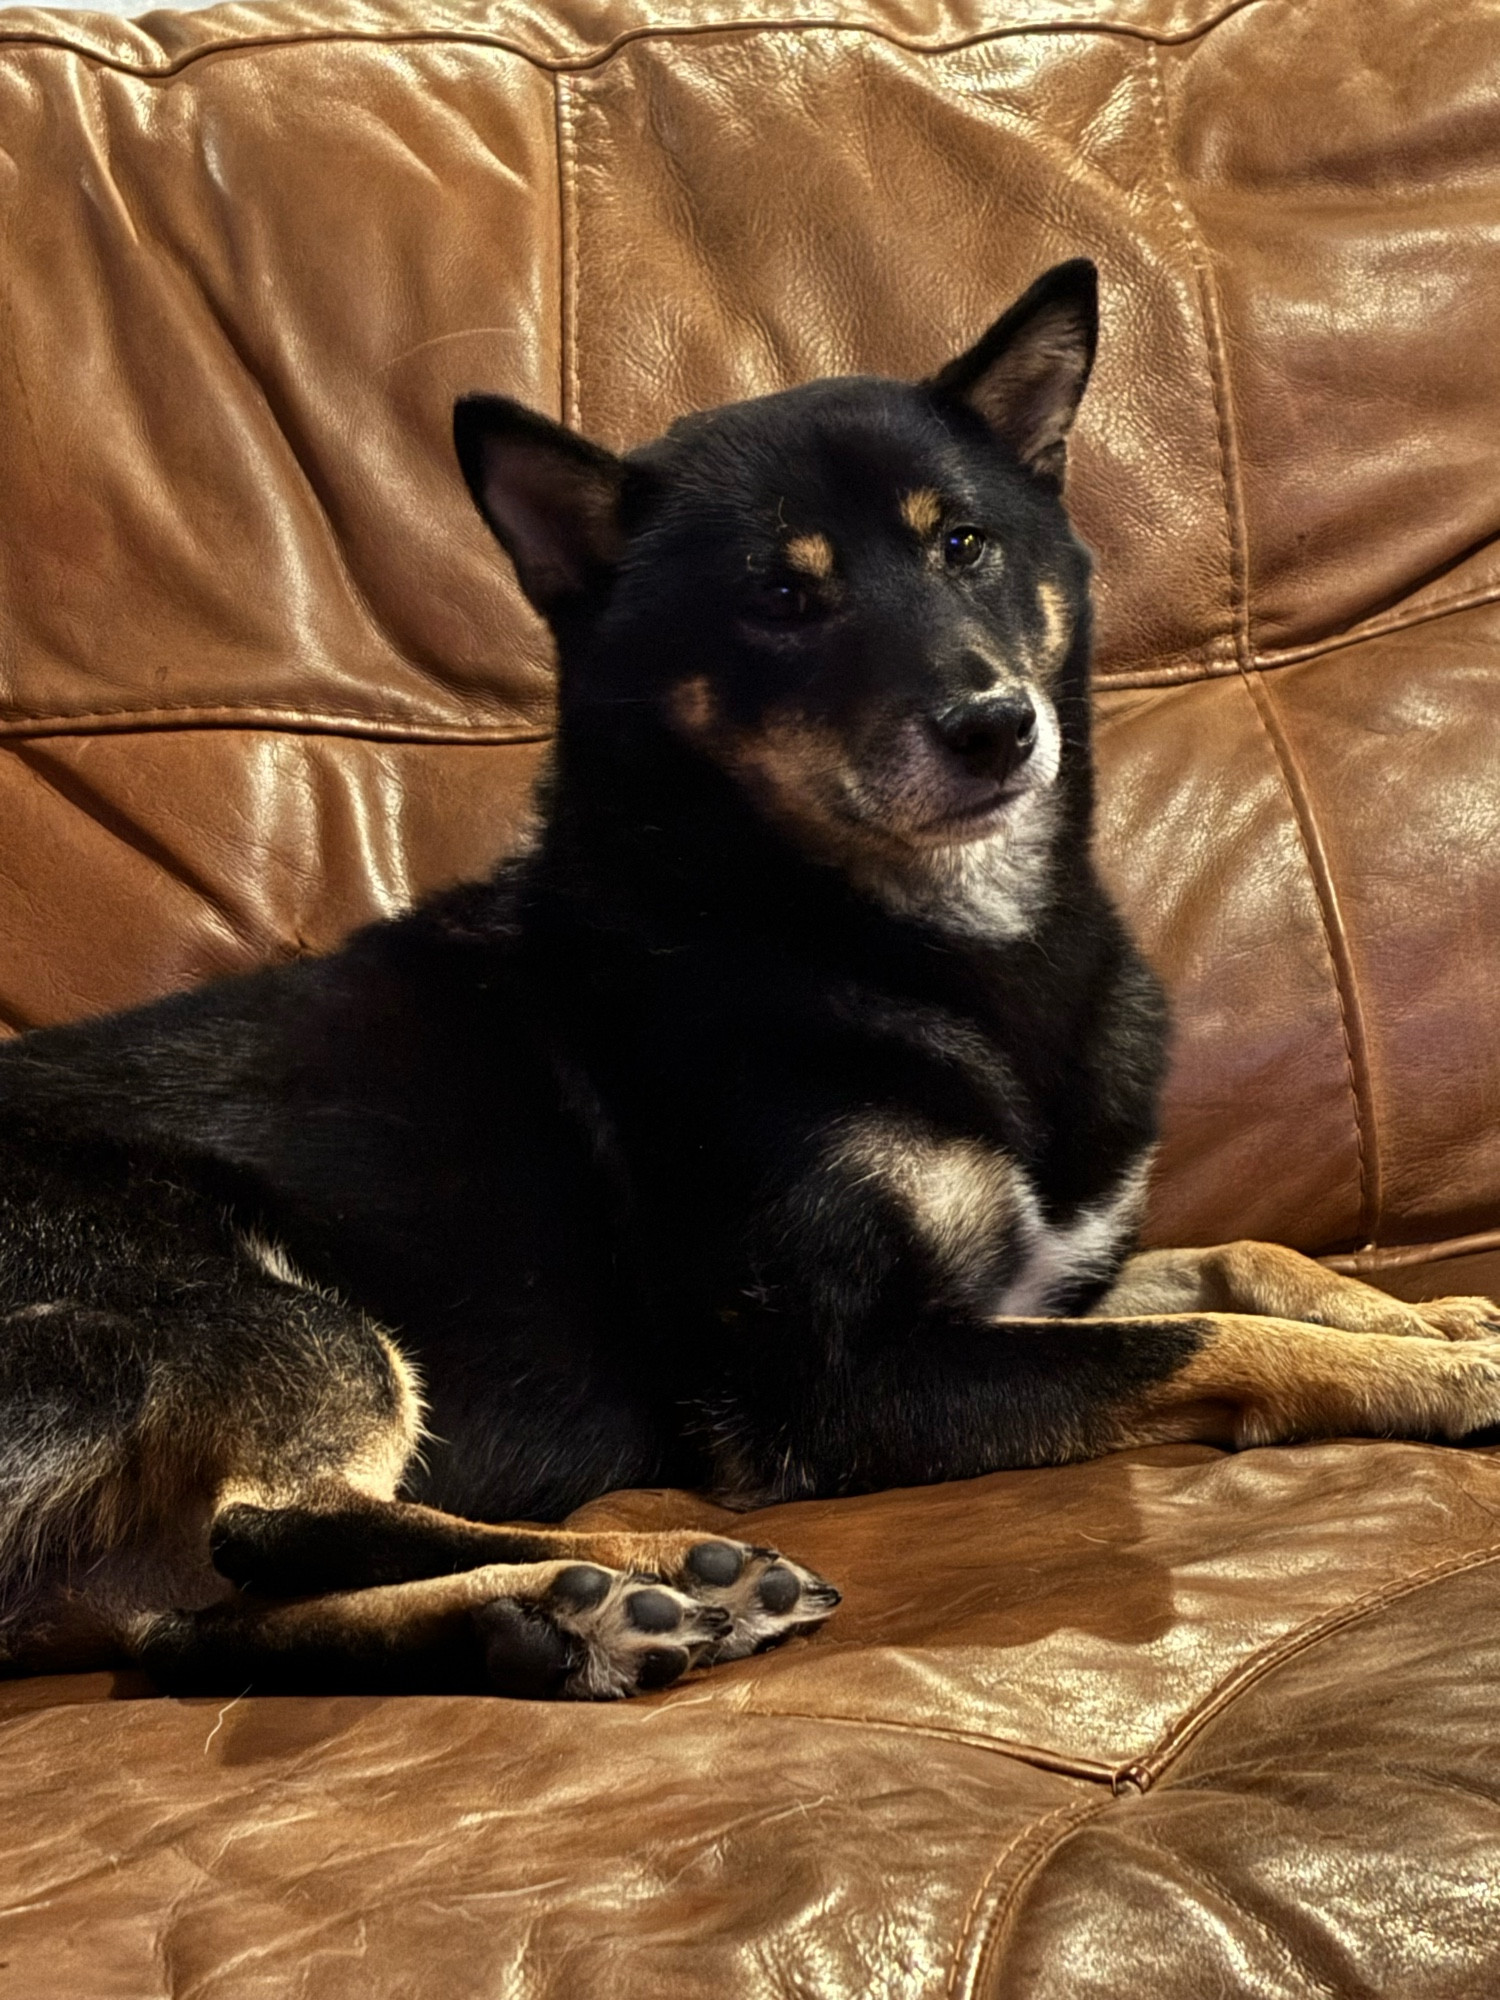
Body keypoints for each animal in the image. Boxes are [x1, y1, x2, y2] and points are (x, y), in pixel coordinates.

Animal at [2, 262, 1500, 1704]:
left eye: (964, 544)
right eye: (783, 597)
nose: (998, 727)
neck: (870, 933)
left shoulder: (1019, 1289)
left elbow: (1241, 1258)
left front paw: (1425, 1312)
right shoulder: (831, 1381)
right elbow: (1197, 1341)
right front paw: (1433, 1370)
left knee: (199, 1624)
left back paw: (569, 1619)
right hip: (258, 1301)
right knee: (264, 1526)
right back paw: (656, 1562)